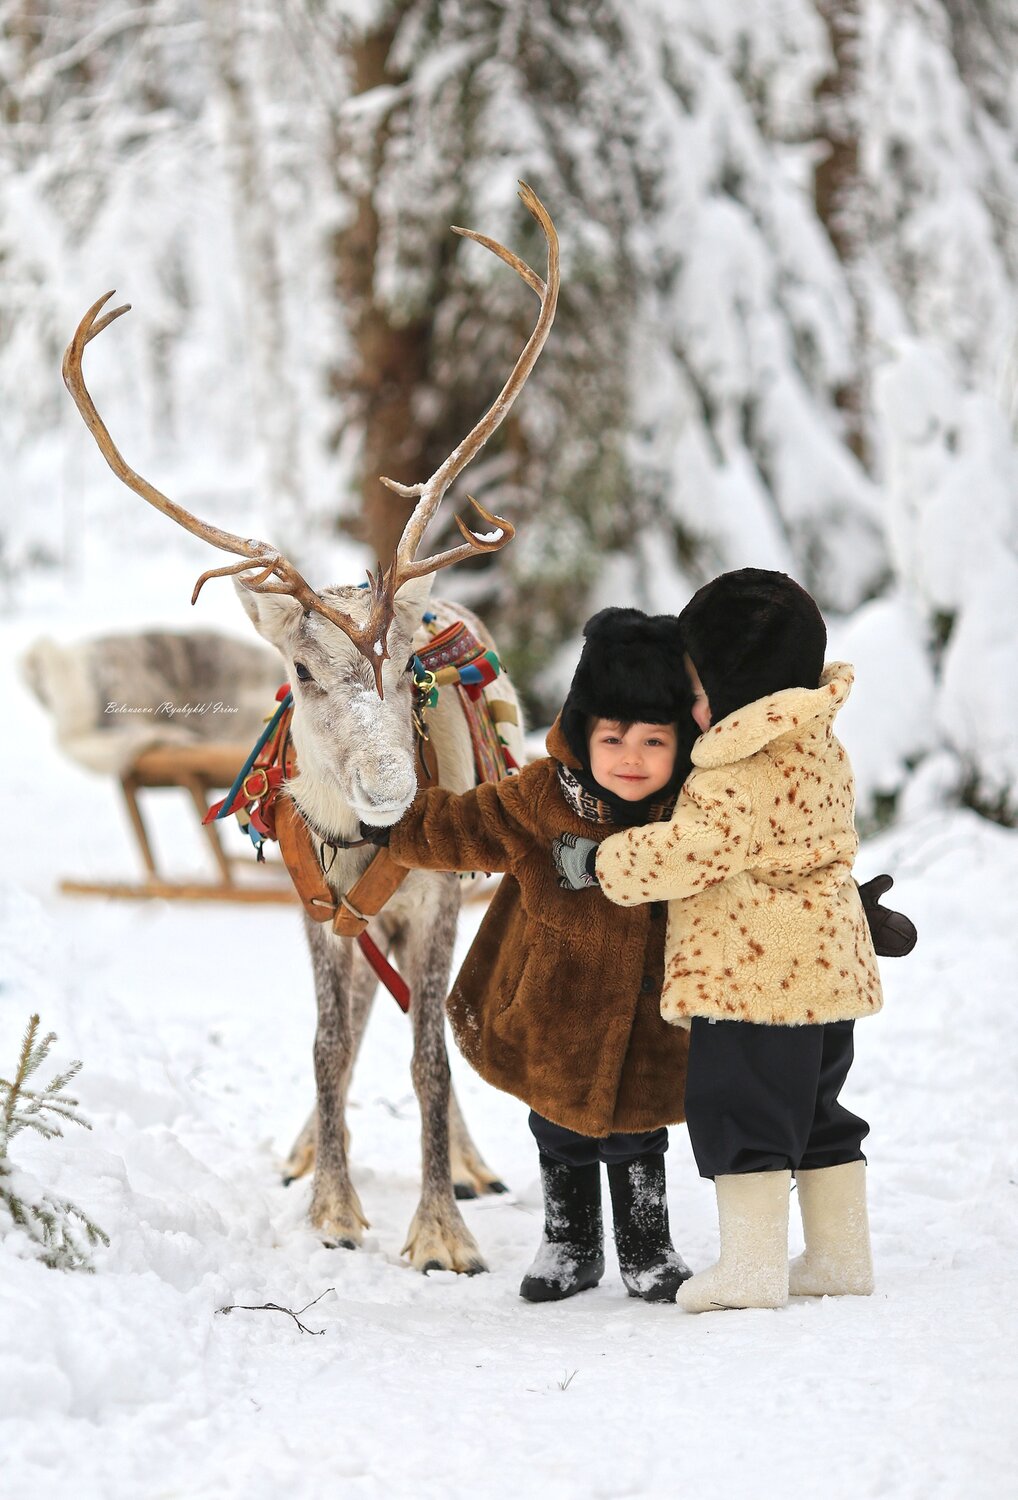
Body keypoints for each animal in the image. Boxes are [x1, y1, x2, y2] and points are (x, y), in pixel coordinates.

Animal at [62, 183, 559, 1273]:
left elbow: (429, 1056)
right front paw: (332, 1205)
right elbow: (330, 1045)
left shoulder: (431, 899)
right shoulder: (312, 898)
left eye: (408, 660)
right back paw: (302, 1154)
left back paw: (468, 1164)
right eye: (300, 669)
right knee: (363, 1024)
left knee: (421, 1022)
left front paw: (441, 1228)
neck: (360, 839)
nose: (389, 787)